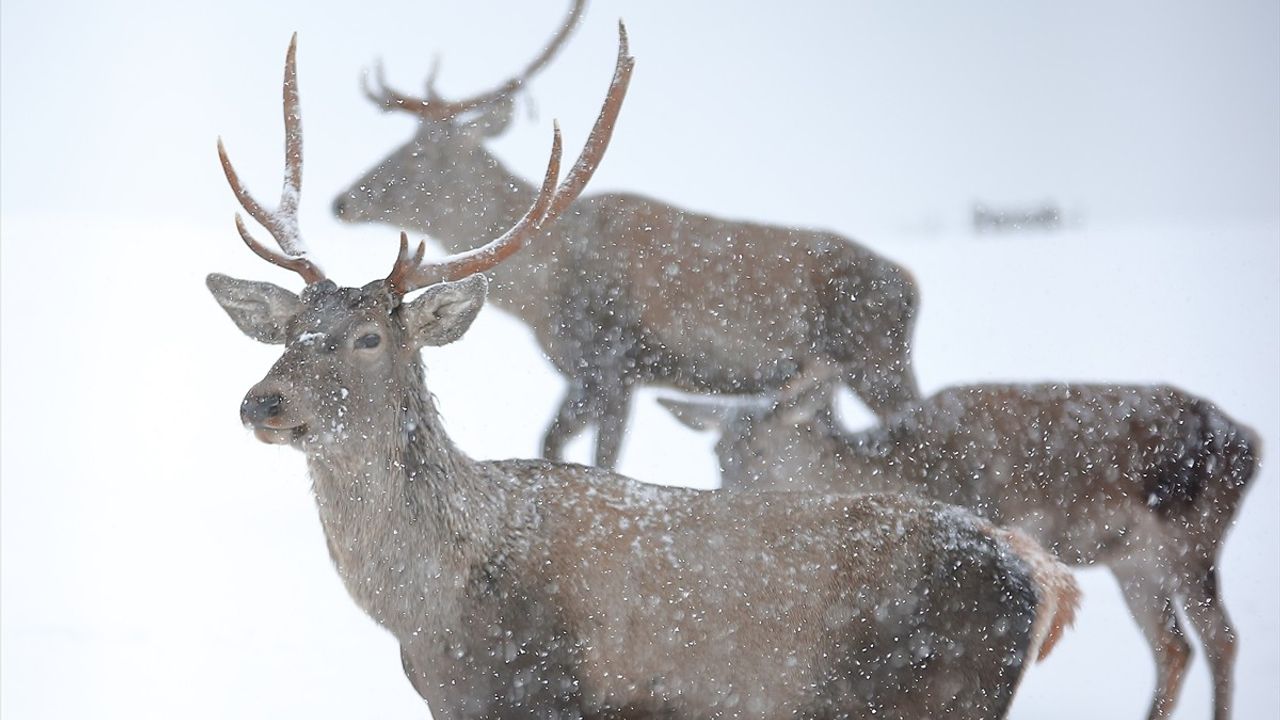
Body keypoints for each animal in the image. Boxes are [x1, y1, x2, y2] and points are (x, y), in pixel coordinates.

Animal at [332, 0, 921, 468]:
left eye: (418, 156)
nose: (342, 201)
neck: (539, 294)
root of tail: (913, 289)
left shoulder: (614, 363)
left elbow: (602, 459)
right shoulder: (588, 372)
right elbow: (552, 443)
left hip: (879, 362)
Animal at [660, 371, 1259, 712]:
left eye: (759, 452)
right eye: (719, 453)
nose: (729, 499)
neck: (902, 470)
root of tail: (1250, 445)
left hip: (1191, 542)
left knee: (1221, 637)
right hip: (1135, 562)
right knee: (1174, 646)